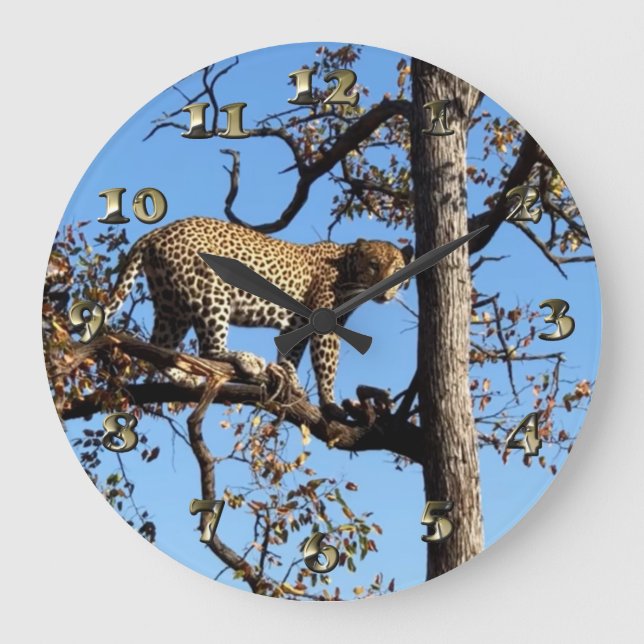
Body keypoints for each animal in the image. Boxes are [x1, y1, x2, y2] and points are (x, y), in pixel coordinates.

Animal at [104, 216, 412, 414]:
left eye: (397, 270)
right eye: (373, 265)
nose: (387, 290)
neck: (346, 269)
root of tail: (158, 231)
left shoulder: (298, 324)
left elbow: (291, 355)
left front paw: (292, 382)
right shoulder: (323, 324)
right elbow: (327, 364)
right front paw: (330, 404)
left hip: (173, 304)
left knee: (160, 345)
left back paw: (183, 378)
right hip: (210, 291)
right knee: (210, 348)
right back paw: (245, 359)